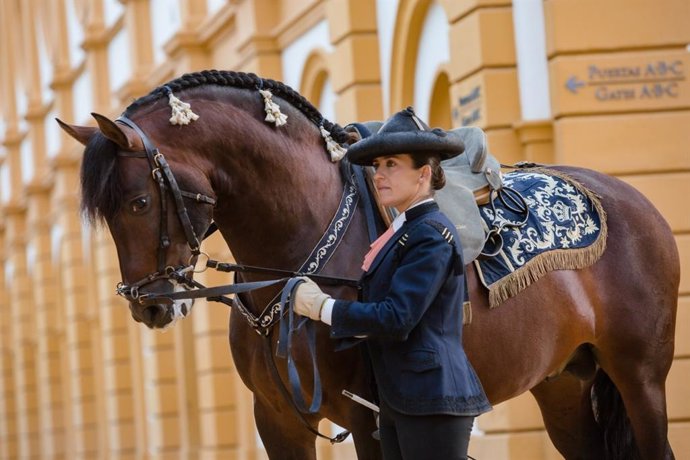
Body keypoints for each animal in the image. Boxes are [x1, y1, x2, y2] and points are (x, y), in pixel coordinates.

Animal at [55, 70, 676, 458]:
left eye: (138, 202)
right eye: (105, 213)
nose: (150, 305)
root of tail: (633, 199)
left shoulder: (369, 418)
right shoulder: (278, 421)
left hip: (640, 377)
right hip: (564, 383)